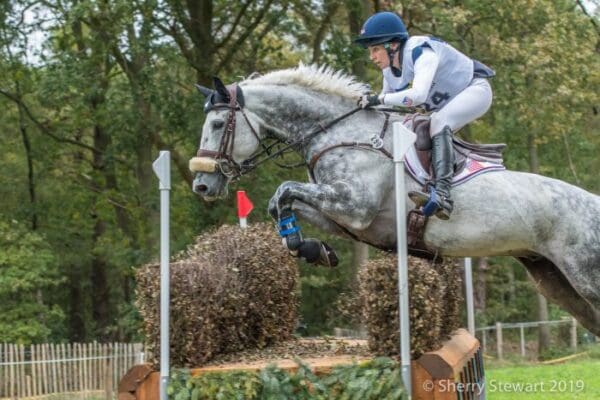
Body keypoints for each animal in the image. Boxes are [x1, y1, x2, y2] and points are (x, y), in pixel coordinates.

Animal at [190, 64, 600, 336]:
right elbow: (283, 201)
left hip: (586, 276)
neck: (341, 131)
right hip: (554, 280)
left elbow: (284, 190)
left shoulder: (354, 206)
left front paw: (306, 247)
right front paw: (310, 249)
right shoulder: (345, 215)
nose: (202, 185)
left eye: (217, 124)